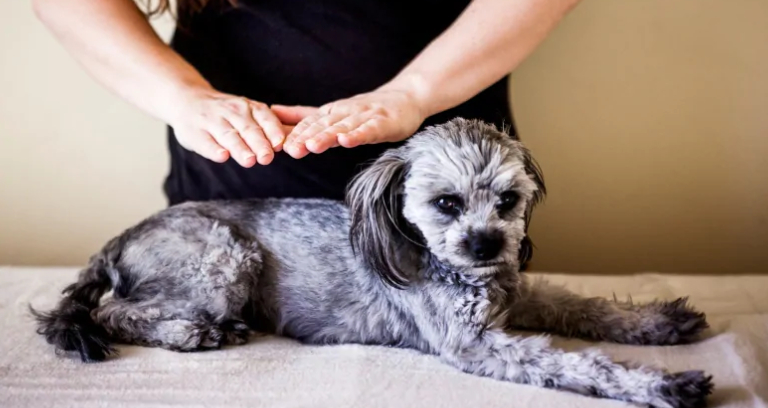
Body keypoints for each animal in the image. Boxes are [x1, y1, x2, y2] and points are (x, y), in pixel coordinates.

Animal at [31, 118, 712, 408]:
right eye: (446, 203)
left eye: (507, 200)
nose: (488, 246)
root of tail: (118, 239)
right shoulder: (474, 344)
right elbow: (581, 363)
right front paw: (660, 383)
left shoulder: (518, 293)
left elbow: (583, 305)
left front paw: (656, 323)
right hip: (224, 258)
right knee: (115, 311)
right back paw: (192, 332)